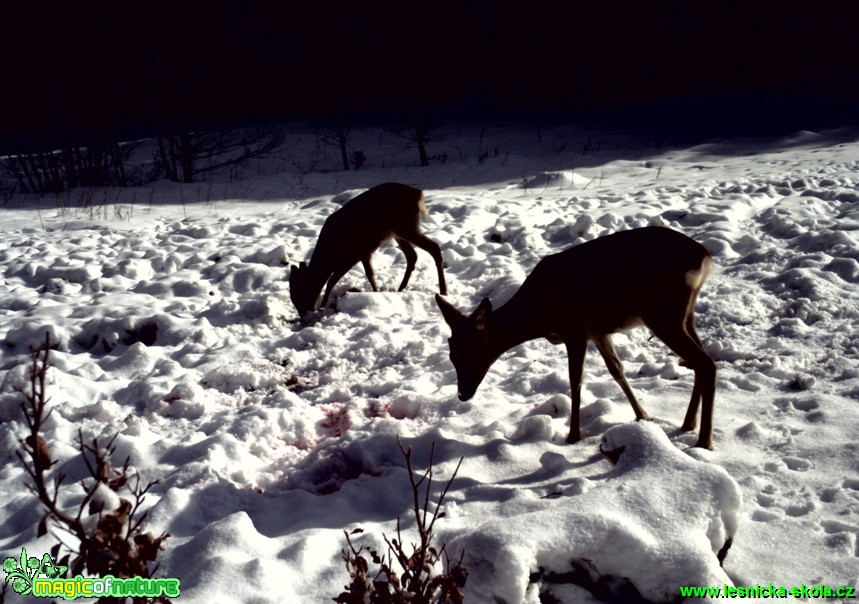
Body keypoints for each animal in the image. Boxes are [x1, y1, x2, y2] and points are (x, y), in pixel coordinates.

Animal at [290, 183, 450, 316]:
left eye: (299, 293)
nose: (303, 316)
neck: (330, 254)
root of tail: (418, 193)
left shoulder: (352, 255)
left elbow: (331, 280)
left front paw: (323, 306)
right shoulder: (364, 252)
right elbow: (370, 274)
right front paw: (376, 293)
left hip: (406, 226)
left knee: (433, 247)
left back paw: (443, 291)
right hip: (398, 231)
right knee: (412, 255)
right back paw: (400, 289)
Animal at [436, 226, 720, 448]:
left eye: (472, 351)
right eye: (451, 354)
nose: (462, 394)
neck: (538, 314)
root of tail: (704, 257)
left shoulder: (575, 330)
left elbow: (575, 380)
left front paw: (573, 435)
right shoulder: (598, 331)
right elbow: (616, 370)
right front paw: (643, 416)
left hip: (663, 314)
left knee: (706, 362)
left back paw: (704, 441)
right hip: (684, 313)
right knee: (702, 360)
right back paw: (688, 423)